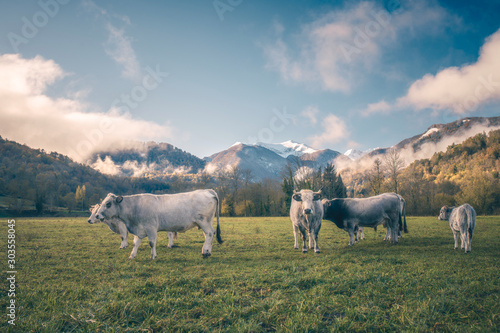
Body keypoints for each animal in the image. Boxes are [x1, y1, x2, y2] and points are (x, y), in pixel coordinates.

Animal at [94, 188, 223, 258]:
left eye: (108, 204)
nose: (97, 215)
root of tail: (207, 190)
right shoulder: (139, 229)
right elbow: (136, 243)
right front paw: (132, 255)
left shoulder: (150, 227)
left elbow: (152, 243)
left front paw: (153, 256)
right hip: (206, 221)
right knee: (208, 235)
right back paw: (208, 251)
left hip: (203, 221)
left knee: (210, 233)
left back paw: (205, 251)